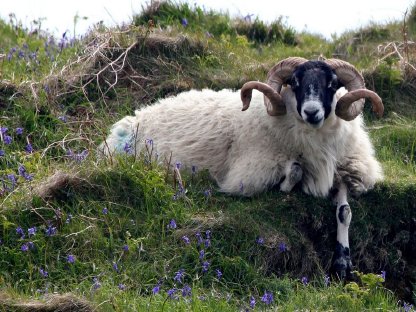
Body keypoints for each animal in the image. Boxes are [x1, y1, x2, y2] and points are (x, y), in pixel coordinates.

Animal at [101, 57, 384, 280]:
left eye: (333, 84)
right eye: (294, 82)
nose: (311, 112)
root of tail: (135, 116)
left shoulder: (348, 169)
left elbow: (345, 211)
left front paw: (343, 264)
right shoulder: (250, 172)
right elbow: (295, 171)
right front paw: (287, 186)